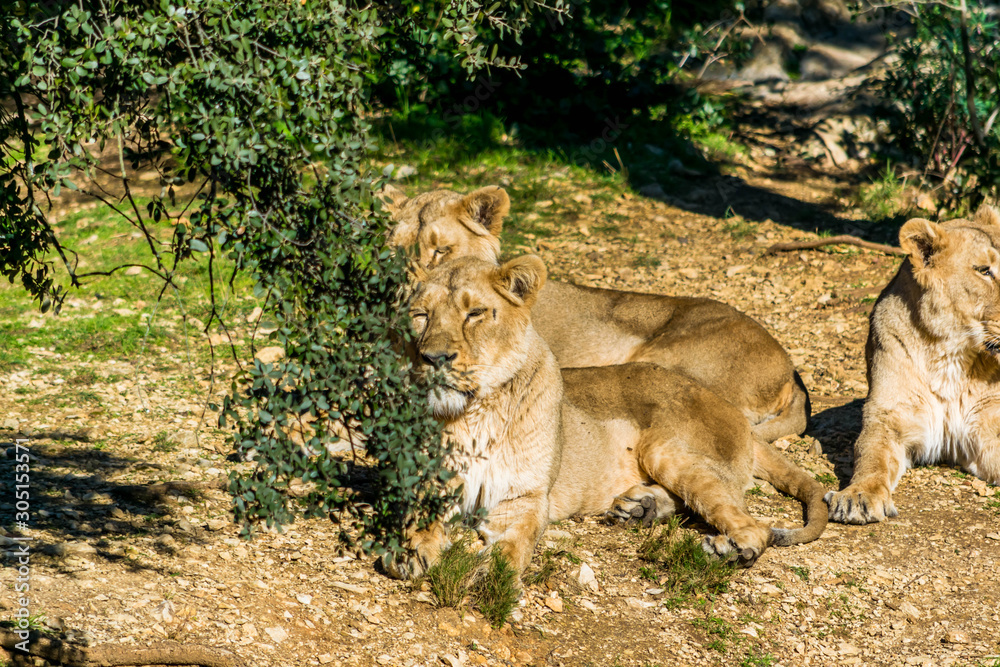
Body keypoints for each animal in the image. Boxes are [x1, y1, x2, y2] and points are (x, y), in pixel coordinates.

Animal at [384, 254, 828, 581]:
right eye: (420, 315)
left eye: (475, 313)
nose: (435, 358)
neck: (474, 412)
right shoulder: (427, 484)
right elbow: (417, 519)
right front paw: (410, 552)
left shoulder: (524, 499)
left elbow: (516, 544)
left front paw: (494, 572)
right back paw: (640, 507)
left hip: (666, 446)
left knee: (754, 524)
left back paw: (725, 550)